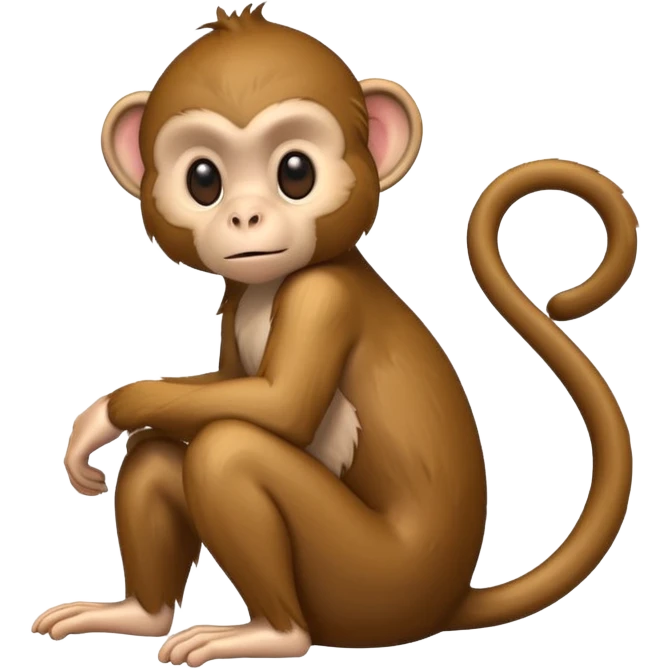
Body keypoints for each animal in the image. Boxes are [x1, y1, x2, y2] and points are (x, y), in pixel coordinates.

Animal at [32, 3, 638, 665]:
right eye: (203, 180)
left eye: (295, 173)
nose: (244, 217)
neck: (273, 285)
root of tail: (448, 601)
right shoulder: (237, 297)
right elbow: (225, 384)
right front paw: (97, 424)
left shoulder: (322, 299)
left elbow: (279, 406)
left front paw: (102, 415)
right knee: (159, 451)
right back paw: (139, 614)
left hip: (371, 578)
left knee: (228, 450)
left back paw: (273, 635)